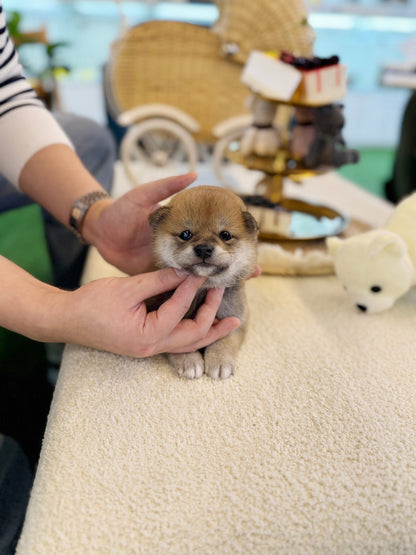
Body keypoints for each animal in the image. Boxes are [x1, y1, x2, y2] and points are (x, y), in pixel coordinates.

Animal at [148, 185, 258, 380]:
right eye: (185, 234)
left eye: (225, 235)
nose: (204, 249)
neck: (203, 288)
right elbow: (178, 344)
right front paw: (189, 361)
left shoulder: (236, 319)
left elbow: (224, 339)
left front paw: (219, 360)